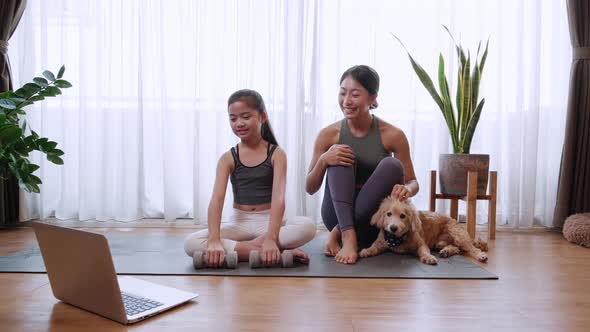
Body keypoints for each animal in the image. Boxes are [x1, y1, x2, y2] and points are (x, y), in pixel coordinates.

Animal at [360, 197, 490, 264]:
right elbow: (374, 247)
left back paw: (480, 255)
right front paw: (366, 251)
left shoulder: (421, 243)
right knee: (456, 248)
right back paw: (446, 251)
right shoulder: (381, 241)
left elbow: (424, 251)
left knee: (472, 248)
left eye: (402, 216)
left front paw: (428, 257)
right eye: (388, 214)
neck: (397, 238)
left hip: (457, 234)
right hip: (446, 241)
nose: (393, 227)